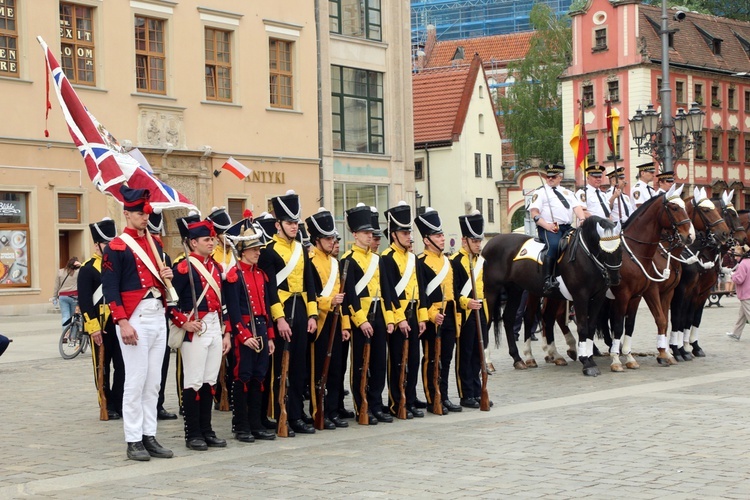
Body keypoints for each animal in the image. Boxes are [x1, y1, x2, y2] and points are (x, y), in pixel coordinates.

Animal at [484, 215, 624, 376]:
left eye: (620, 248)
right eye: (602, 249)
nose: (614, 278)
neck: (585, 256)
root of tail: (492, 242)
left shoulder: (598, 297)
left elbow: (591, 327)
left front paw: (589, 357)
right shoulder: (580, 296)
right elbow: (583, 327)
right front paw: (587, 363)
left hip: (516, 290)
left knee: (509, 318)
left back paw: (518, 359)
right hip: (492, 290)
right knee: (487, 321)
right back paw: (488, 363)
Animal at [604, 186, 692, 370]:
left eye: (685, 208)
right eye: (674, 208)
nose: (689, 236)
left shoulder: (643, 295)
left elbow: (635, 324)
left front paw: (631, 356)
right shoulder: (631, 294)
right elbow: (620, 325)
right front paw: (616, 360)